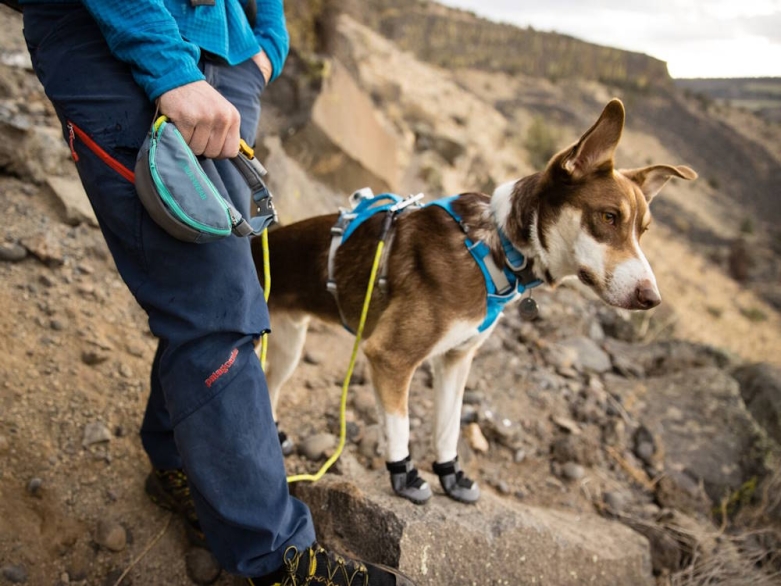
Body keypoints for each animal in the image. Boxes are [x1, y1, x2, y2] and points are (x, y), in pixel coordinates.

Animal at [253, 99, 696, 502]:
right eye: (607, 217)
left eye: (643, 231)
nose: (652, 298)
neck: (493, 247)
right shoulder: (390, 357)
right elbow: (401, 425)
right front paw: (405, 476)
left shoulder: (456, 359)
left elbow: (448, 427)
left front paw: (451, 476)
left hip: (289, 346)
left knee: (270, 387)